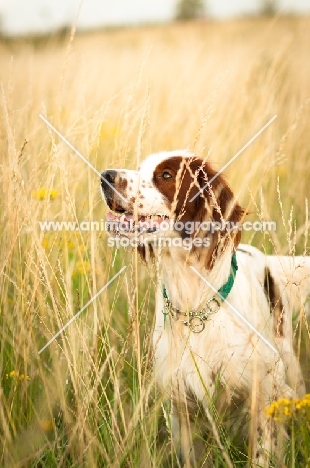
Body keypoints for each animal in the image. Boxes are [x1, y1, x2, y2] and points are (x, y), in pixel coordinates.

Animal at [101, 151, 308, 468]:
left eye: (166, 175)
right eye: (139, 168)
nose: (105, 176)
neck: (194, 303)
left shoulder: (264, 392)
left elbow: (263, 451)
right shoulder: (181, 404)